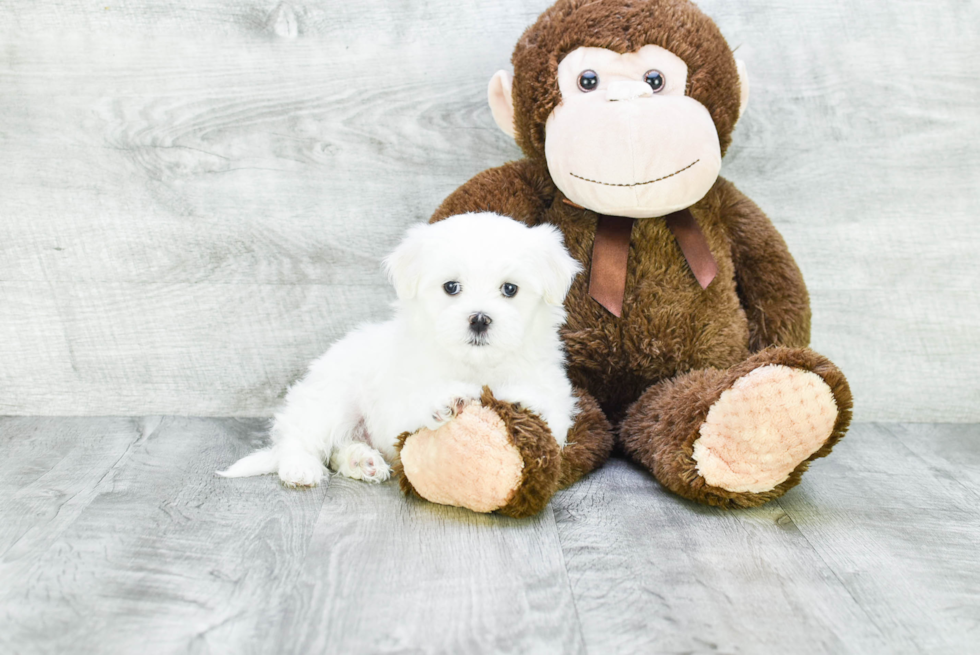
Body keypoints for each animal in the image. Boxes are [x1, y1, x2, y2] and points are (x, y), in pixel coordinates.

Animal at [220, 213, 580, 490]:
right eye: (451, 287)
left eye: (510, 289)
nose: (479, 319)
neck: (474, 365)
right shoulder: (398, 396)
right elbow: (413, 405)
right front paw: (444, 400)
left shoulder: (553, 386)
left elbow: (550, 414)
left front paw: (522, 403)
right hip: (330, 400)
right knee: (300, 437)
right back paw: (301, 468)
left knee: (337, 450)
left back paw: (361, 461)